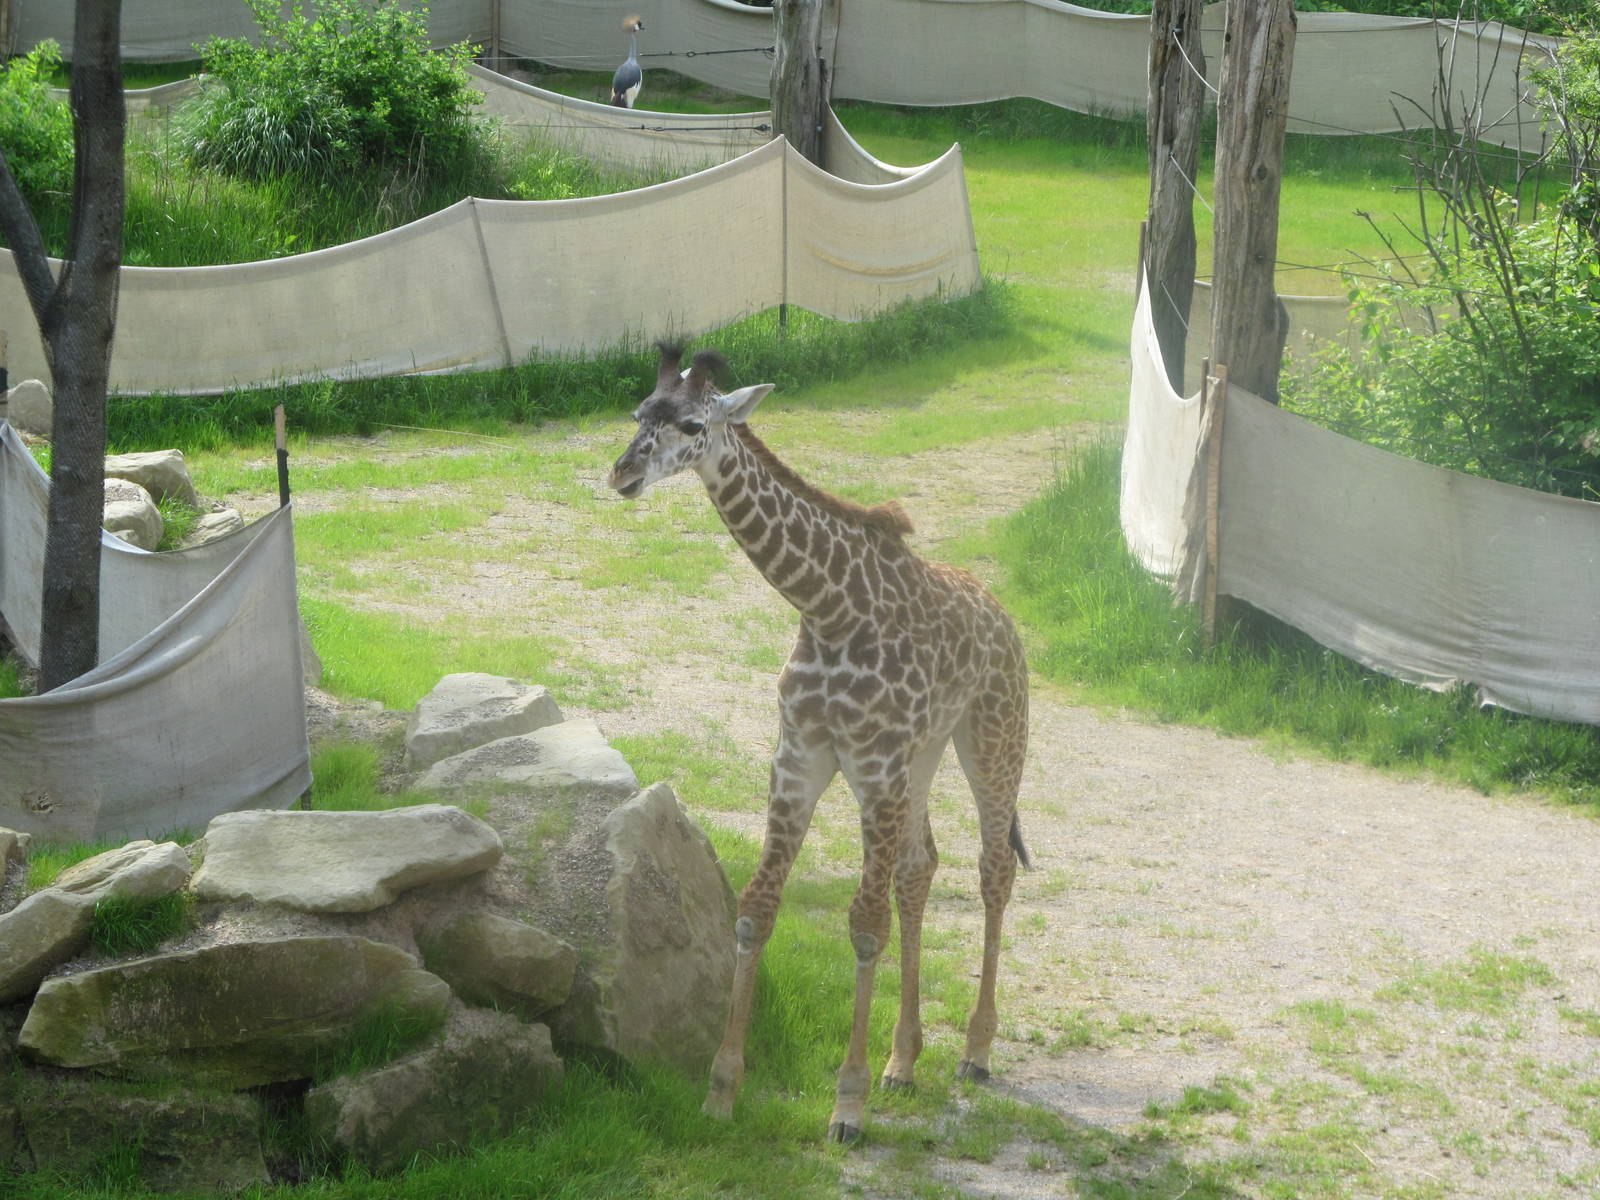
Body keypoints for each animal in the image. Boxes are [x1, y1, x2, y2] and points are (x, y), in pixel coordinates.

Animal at [608, 345, 1030, 1143]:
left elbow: (863, 926)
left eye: (690, 425)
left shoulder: (874, 767)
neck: (829, 607)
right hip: (924, 756)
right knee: (920, 868)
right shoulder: (801, 758)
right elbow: (756, 908)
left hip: (992, 739)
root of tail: (1002, 614)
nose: (620, 474)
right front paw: (721, 1091)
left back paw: (975, 1053)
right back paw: (905, 1061)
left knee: (993, 871)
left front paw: (847, 1106)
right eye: (637, 413)